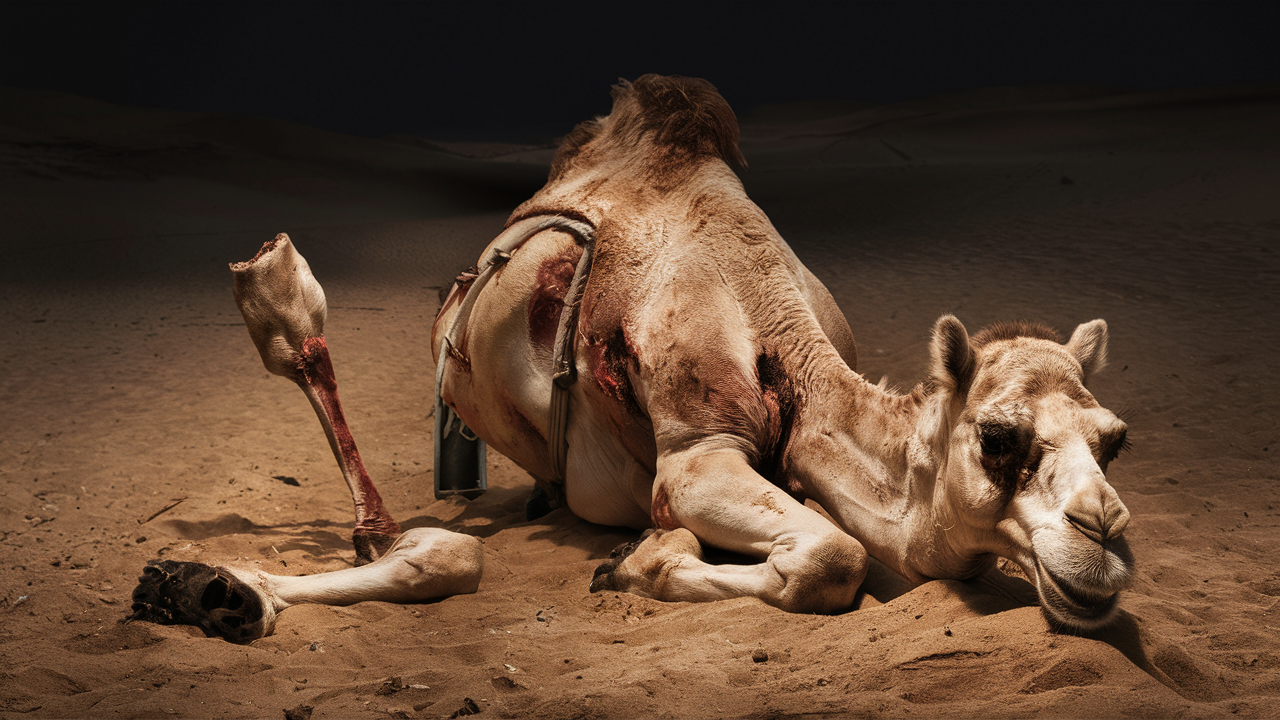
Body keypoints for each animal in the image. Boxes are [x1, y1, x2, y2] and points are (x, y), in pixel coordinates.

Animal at [128, 75, 1135, 643]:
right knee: (312, 360)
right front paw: (635, 564)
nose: (1106, 542)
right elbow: (831, 556)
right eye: (997, 438)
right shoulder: (695, 450)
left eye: (1115, 438)